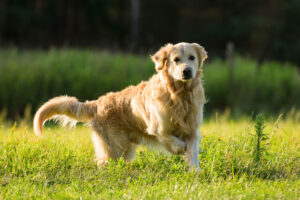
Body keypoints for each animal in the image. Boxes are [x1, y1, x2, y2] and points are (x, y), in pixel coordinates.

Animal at [32, 42, 206, 170]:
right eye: (176, 59)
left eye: (192, 57)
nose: (187, 71)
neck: (180, 95)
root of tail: (97, 103)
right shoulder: (158, 128)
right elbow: (173, 140)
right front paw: (181, 148)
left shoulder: (192, 130)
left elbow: (193, 152)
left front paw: (195, 172)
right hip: (116, 148)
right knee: (103, 163)